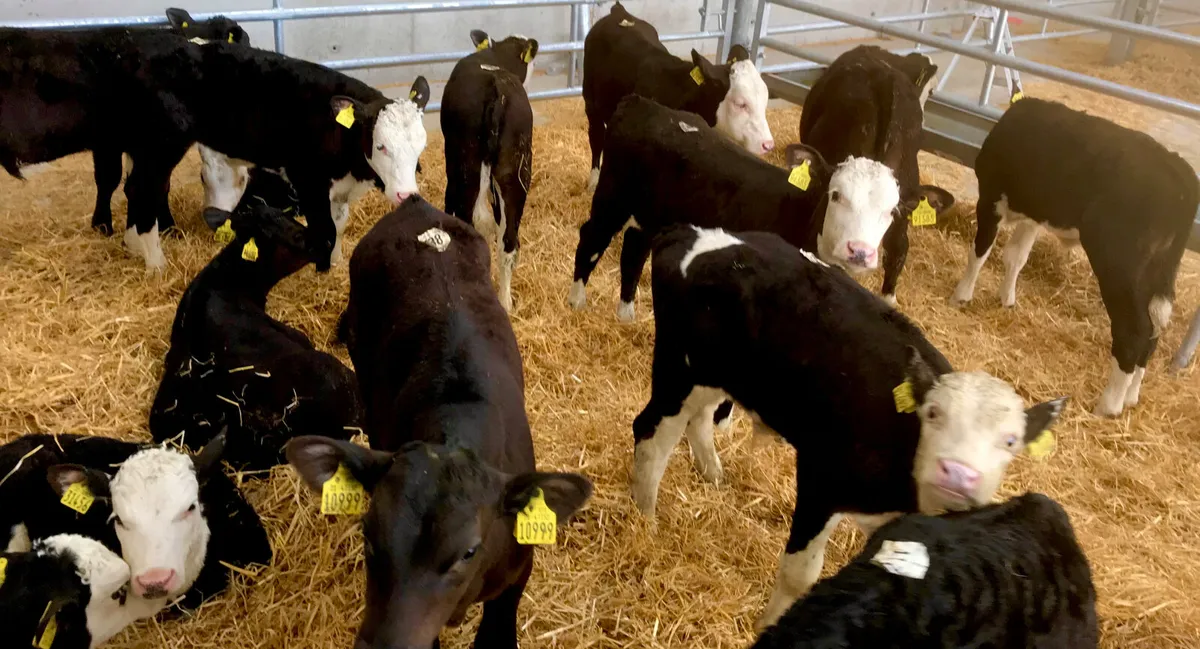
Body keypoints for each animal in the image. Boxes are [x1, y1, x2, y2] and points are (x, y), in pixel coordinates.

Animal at [441, 30, 537, 312]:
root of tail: (497, 87)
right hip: (515, 173)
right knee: (508, 240)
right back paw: (505, 302)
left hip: (467, 165)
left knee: (469, 219)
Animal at [568, 96, 951, 322]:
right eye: (837, 195)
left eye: (891, 211)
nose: (859, 251)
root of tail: (643, 104)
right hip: (612, 198)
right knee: (591, 239)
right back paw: (576, 301)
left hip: (649, 215)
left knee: (633, 251)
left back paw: (626, 315)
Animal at [582, 1, 773, 192]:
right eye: (740, 104)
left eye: (765, 101)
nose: (768, 144)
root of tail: (619, 12)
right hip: (590, 103)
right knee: (596, 136)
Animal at [634, 225, 1067, 631]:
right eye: (933, 414)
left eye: (1010, 441)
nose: (959, 474)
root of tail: (697, 232)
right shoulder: (820, 481)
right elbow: (800, 575)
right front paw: (768, 624)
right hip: (679, 370)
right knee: (652, 436)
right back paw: (646, 520)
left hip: (721, 377)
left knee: (700, 419)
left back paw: (712, 474)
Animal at [950, 97, 1200, 417]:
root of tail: (1179, 168)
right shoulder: (1033, 215)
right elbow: (1015, 257)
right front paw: (1007, 300)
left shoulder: (991, 197)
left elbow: (979, 251)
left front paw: (961, 295)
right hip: (1159, 271)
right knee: (1155, 328)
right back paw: (1131, 396)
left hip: (1118, 262)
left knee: (1136, 330)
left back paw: (1109, 406)